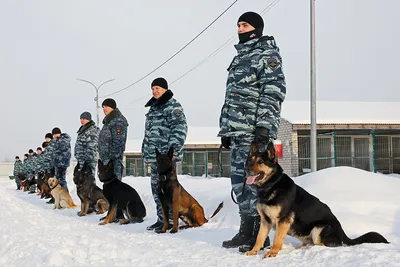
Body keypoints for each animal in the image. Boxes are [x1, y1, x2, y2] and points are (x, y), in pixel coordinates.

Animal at [244, 142, 388, 260]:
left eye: (260, 162)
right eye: (250, 161)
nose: (246, 169)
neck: (272, 185)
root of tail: (343, 233)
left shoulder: (283, 220)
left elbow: (277, 240)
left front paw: (272, 253)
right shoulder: (265, 221)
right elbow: (259, 238)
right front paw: (253, 252)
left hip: (319, 228)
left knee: (322, 244)